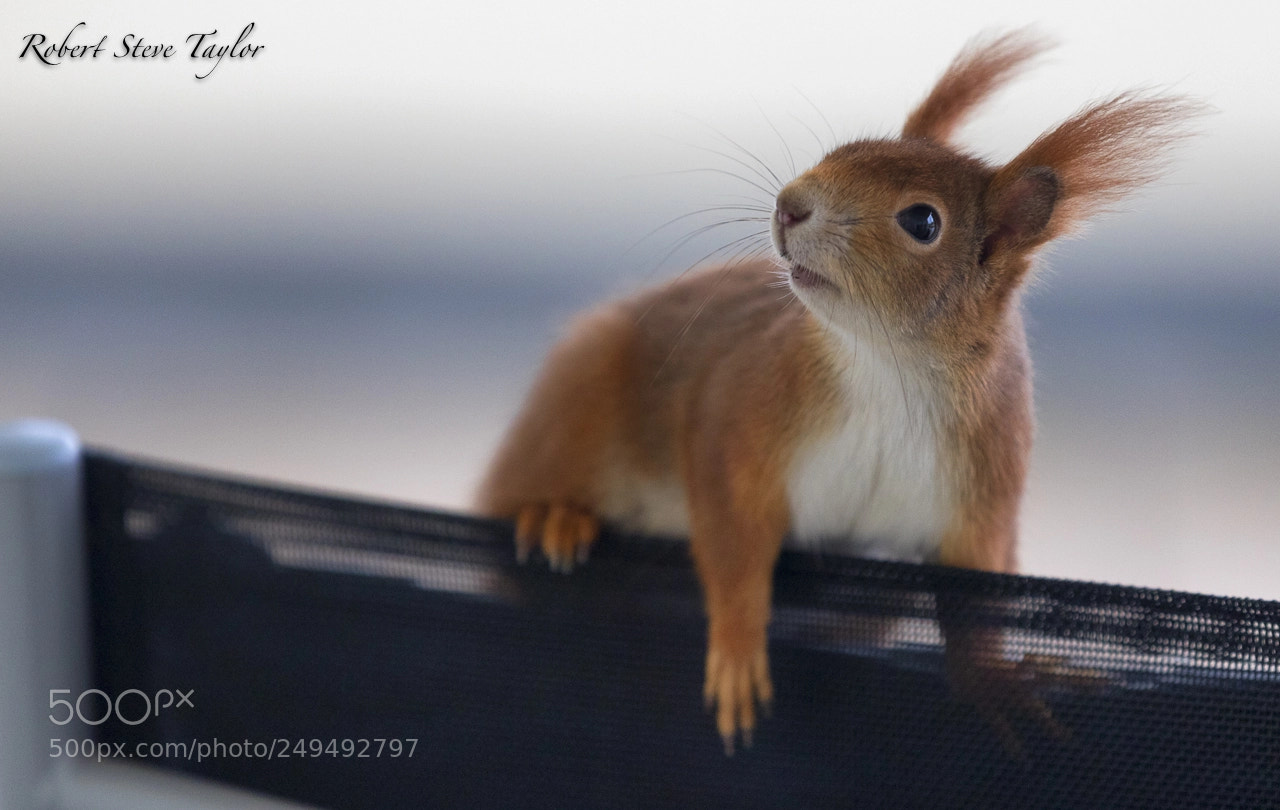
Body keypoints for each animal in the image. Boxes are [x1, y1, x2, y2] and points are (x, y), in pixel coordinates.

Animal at [476, 29, 1204, 752]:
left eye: (923, 221)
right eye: (839, 151)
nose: (789, 204)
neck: (887, 369)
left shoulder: (985, 488)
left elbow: (975, 602)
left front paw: (1002, 678)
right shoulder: (740, 411)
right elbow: (734, 544)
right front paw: (737, 651)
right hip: (581, 405)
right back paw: (554, 516)